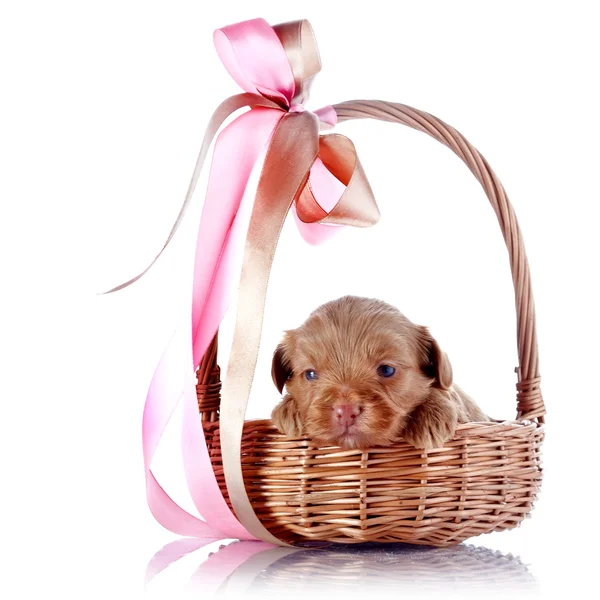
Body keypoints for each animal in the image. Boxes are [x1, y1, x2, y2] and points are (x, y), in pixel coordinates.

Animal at [272, 296, 488, 450]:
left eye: (386, 370)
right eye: (310, 374)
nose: (346, 411)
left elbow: (444, 390)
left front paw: (431, 417)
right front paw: (288, 410)